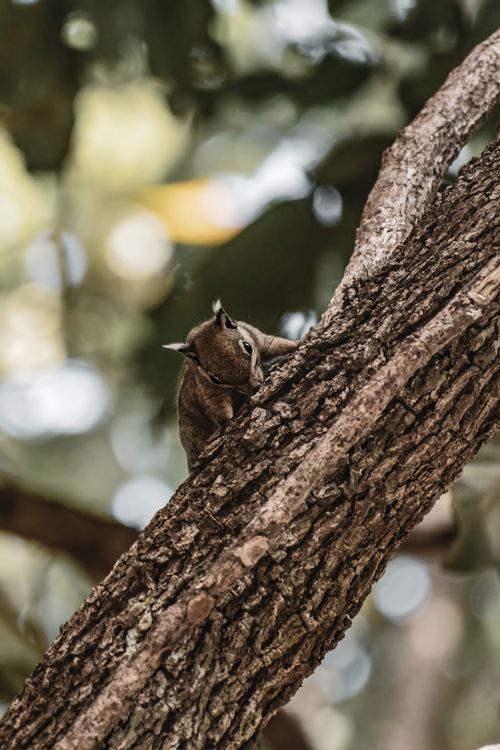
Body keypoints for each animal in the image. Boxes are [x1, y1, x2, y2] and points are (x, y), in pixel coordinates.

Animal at [164, 300, 298, 471]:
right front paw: (228, 422)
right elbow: (217, 407)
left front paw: (297, 344)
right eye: (215, 379)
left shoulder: (257, 336)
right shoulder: (207, 391)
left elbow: (275, 344)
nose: (255, 386)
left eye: (248, 346)